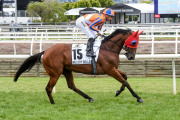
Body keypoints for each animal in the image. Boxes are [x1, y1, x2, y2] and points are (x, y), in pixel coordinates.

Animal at [13, 28, 143, 103]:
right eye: (134, 42)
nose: (131, 57)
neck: (108, 48)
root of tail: (45, 51)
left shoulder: (113, 69)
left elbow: (125, 77)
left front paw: (118, 92)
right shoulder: (110, 70)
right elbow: (125, 81)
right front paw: (138, 97)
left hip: (66, 70)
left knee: (71, 86)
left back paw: (89, 98)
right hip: (55, 73)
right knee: (49, 88)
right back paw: (53, 103)